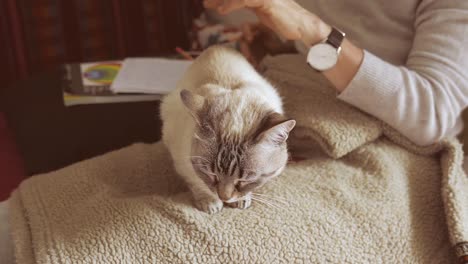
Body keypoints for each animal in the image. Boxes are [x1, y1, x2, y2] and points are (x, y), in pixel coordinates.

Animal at [159, 46, 294, 214]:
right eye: (211, 174)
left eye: (245, 180)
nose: (224, 198)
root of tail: (217, 47)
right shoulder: (182, 161)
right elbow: (198, 182)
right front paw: (210, 202)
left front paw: (242, 199)